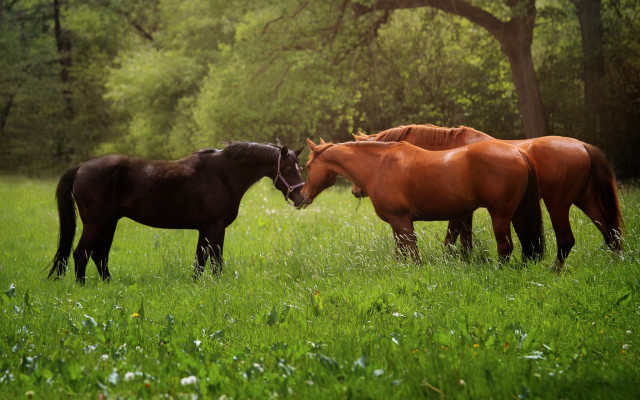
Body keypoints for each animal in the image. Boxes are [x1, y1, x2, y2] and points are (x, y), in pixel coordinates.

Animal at [47, 142, 305, 284]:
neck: (222, 174)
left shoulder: (205, 229)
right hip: (95, 223)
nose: (302, 198)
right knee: (81, 254)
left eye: (300, 167)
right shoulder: (215, 227)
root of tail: (81, 167)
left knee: (99, 256)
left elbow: (199, 261)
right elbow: (216, 262)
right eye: (288, 168)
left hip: (109, 222)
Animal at [301, 138, 544, 264]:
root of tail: (518, 152)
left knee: (505, 247)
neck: (379, 165)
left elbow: (413, 255)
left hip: (500, 215)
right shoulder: (397, 225)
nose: (302, 196)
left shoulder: (402, 221)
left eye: (308, 165)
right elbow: (400, 254)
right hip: (518, 213)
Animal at [352, 124, 624, 271]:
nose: (356, 191)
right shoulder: (466, 211)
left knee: (567, 240)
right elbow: (464, 241)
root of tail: (583, 146)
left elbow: (451, 239)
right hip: (585, 199)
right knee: (611, 234)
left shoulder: (460, 211)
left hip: (557, 203)